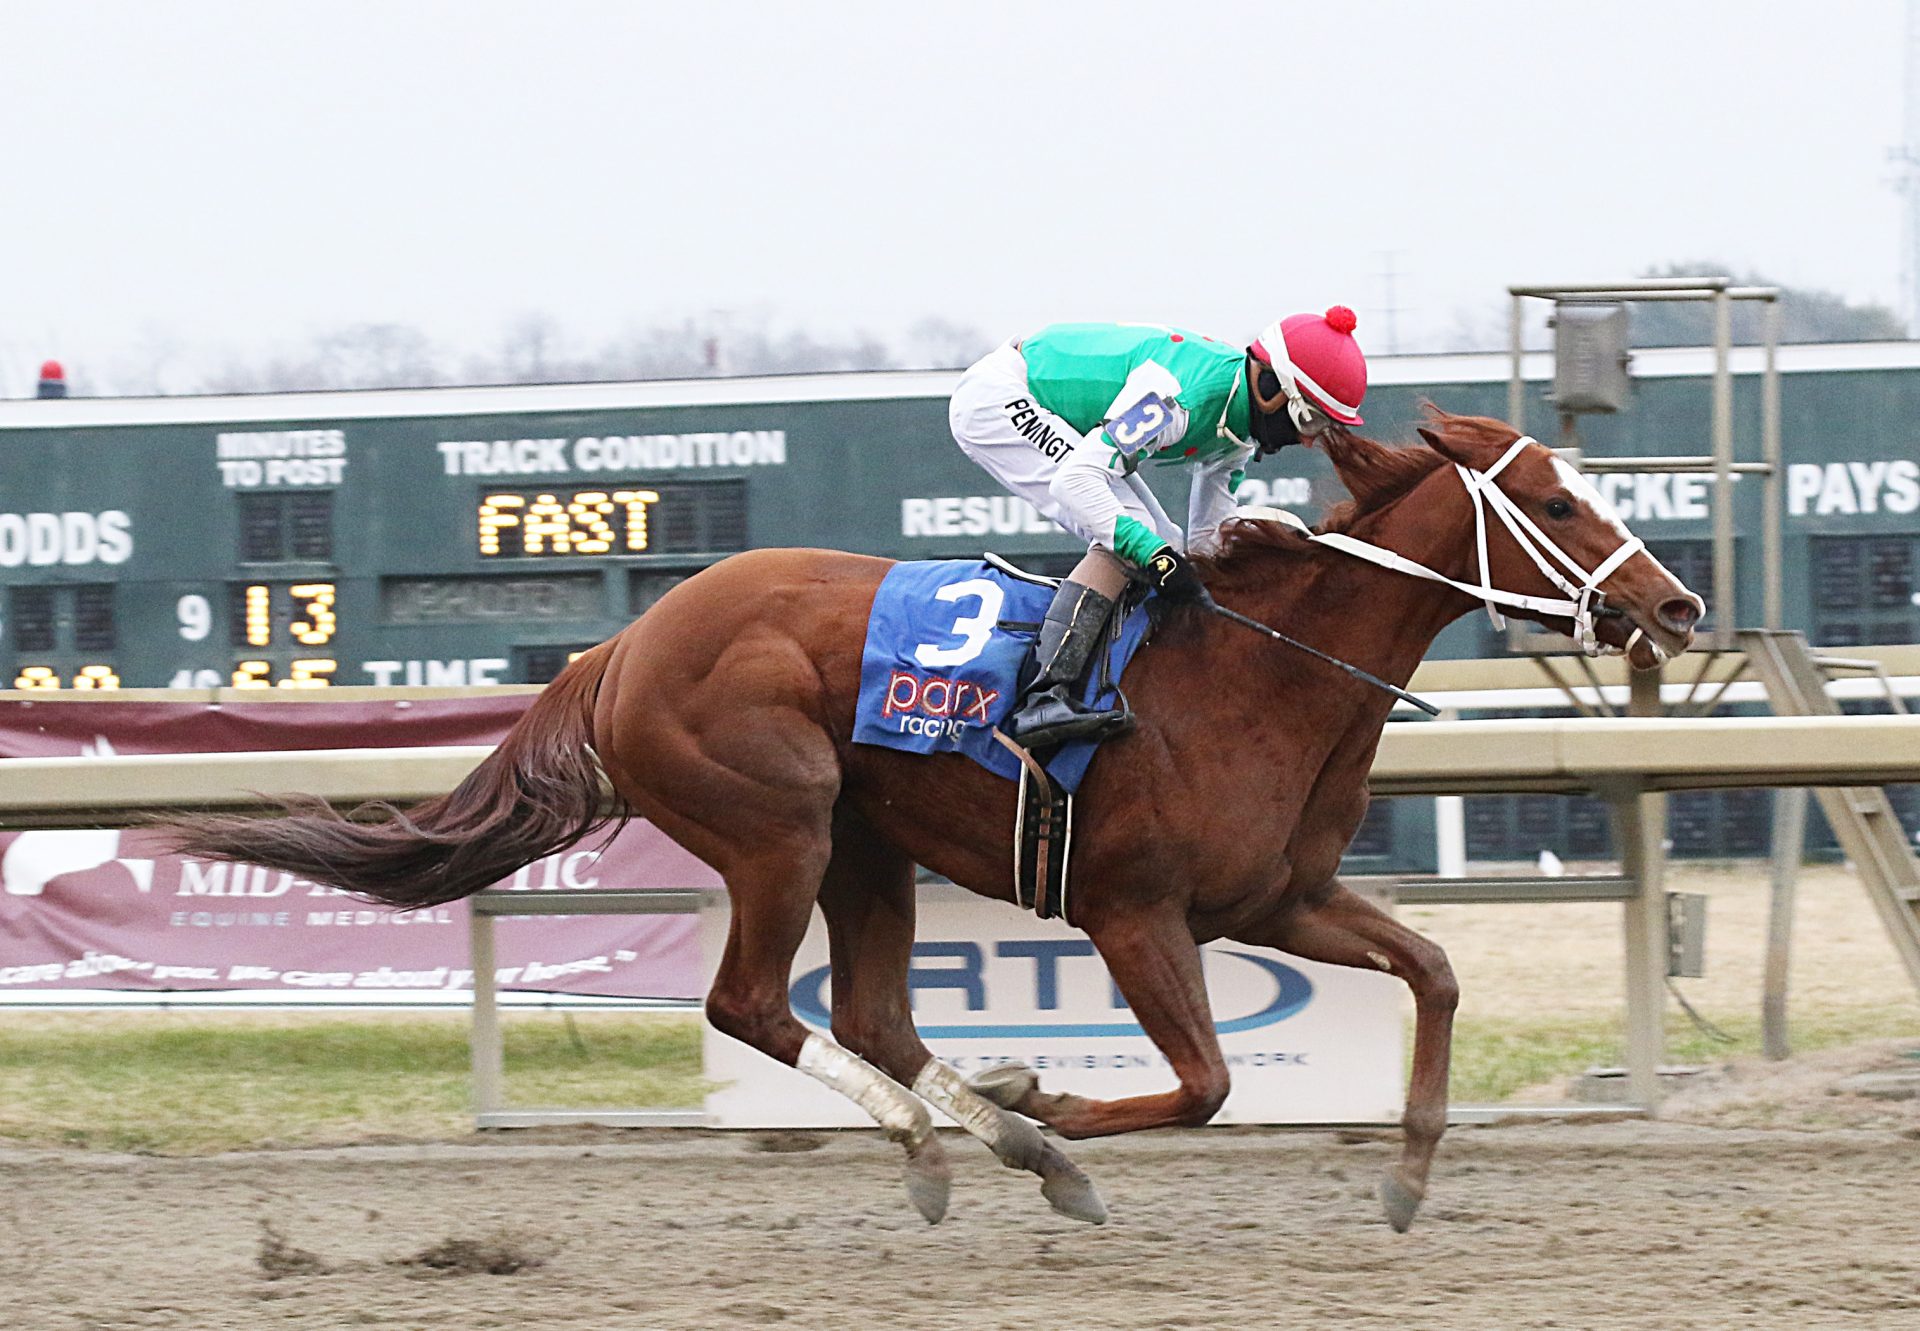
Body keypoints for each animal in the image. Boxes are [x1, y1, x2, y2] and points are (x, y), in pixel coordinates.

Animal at [176, 414, 1697, 1236]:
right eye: (1554, 501)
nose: (1677, 605)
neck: (1263, 674)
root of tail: (621, 642)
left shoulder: (1278, 897)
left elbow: (1434, 969)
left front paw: (1408, 1175)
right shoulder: (1132, 908)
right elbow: (1206, 1080)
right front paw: (1065, 1102)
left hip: (867, 846)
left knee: (873, 1014)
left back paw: (1003, 1132)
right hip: (778, 825)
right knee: (754, 1003)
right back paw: (972, 1137)